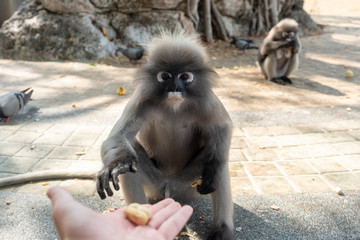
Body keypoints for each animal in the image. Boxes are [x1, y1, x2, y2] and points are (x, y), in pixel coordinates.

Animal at [97, 30, 235, 240]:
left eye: (184, 76)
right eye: (165, 76)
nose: (175, 87)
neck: (174, 106)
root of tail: (169, 186)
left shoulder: (206, 99)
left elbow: (222, 126)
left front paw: (212, 173)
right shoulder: (142, 95)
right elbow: (118, 136)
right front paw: (116, 164)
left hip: (188, 186)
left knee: (221, 164)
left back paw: (222, 230)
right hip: (155, 186)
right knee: (130, 163)